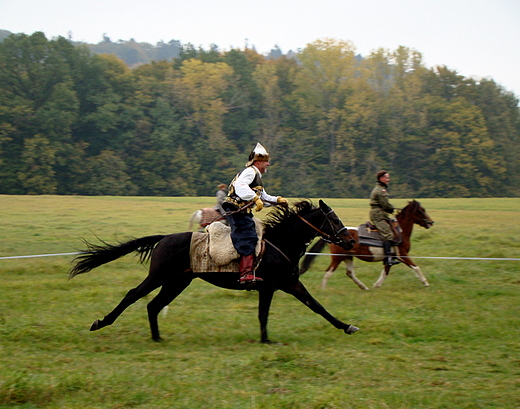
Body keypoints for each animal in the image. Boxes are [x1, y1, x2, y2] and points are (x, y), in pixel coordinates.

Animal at [69, 199, 360, 342]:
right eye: (335, 220)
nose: (349, 241)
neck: (280, 243)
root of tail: (164, 238)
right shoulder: (269, 287)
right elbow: (264, 314)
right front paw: (266, 340)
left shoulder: (290, 284)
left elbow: (318, 307)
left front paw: (347, 326)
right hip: (159, 276)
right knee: (133, 295)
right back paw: (101, 323)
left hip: (177, 282)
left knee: (154, 305)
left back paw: (158, 338)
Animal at [300, 199, 434, 288]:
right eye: (421, 210)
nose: (431, 222)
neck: (400, 231)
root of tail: (334, 236)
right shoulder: (402, 255)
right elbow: (415, 267)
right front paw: (426, 282)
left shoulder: (391, 258)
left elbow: (385, 272)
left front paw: (376, 285)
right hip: (338, 257)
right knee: (328, 272)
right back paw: (323, 289)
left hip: (348, 256)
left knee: (349, 273)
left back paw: (363, 287)